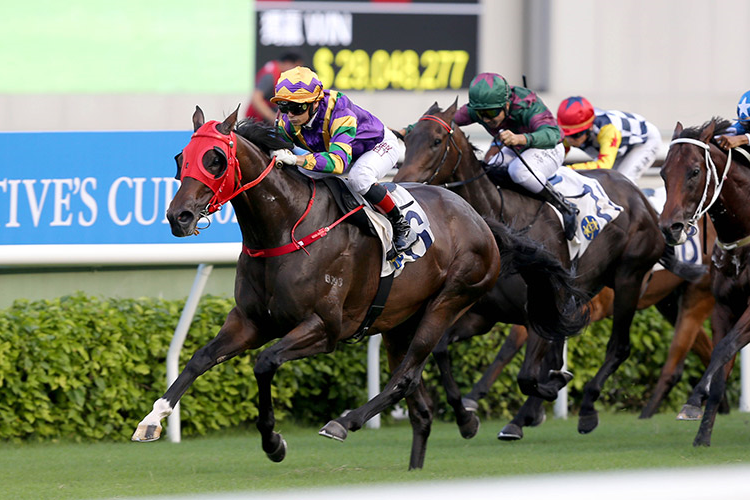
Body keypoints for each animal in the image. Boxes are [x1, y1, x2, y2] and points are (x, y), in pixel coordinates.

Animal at [131, 105, 588, 468]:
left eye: (215, 159)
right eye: (180, 157)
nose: (179, 216)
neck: (284, 228)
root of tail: (482, 221)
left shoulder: (326, 328)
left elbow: (265, 363)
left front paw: (274, 442)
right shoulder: (250, 321)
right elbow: (199, 358)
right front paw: (151, 421)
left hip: (450, 301)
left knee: (407, 377)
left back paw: (345, 421)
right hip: (399, 322)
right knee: (419, 402)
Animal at [394, 101, 704, 438]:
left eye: (436, 141)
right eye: (407, 139)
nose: (402, 181)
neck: (503, 216)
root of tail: (642, 199)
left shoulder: (537, 314)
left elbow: (528, 376)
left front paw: (548, 393)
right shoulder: (482, 315)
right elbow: (439, 351)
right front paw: (466, 417)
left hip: (629, 280)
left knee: (619, 346)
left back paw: (586, 408)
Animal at [660, 117, 748, 446]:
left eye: (695, 171)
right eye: (663, 172)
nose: (669, 227)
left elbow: (723, 349)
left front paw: (693, 399)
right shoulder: (724, 306)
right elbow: (721, 362)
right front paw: (702, 435)